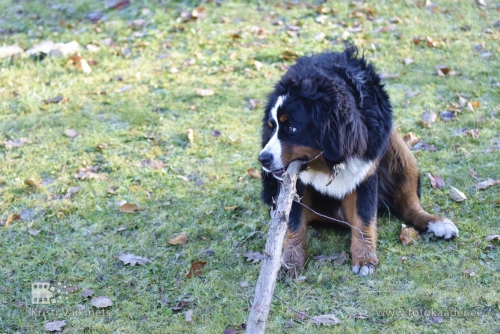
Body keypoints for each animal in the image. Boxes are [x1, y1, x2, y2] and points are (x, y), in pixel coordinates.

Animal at [260, 47, 458, 276]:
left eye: (291, 128)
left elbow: (364, 218)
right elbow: (293, 221)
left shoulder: (366, 172)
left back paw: (437, 223)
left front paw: (364, 259)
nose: (263, 158)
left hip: (398, 147)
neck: (332, 161)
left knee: (409, 206)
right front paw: (291, 261)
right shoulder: (296, 183)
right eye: (272, 126)